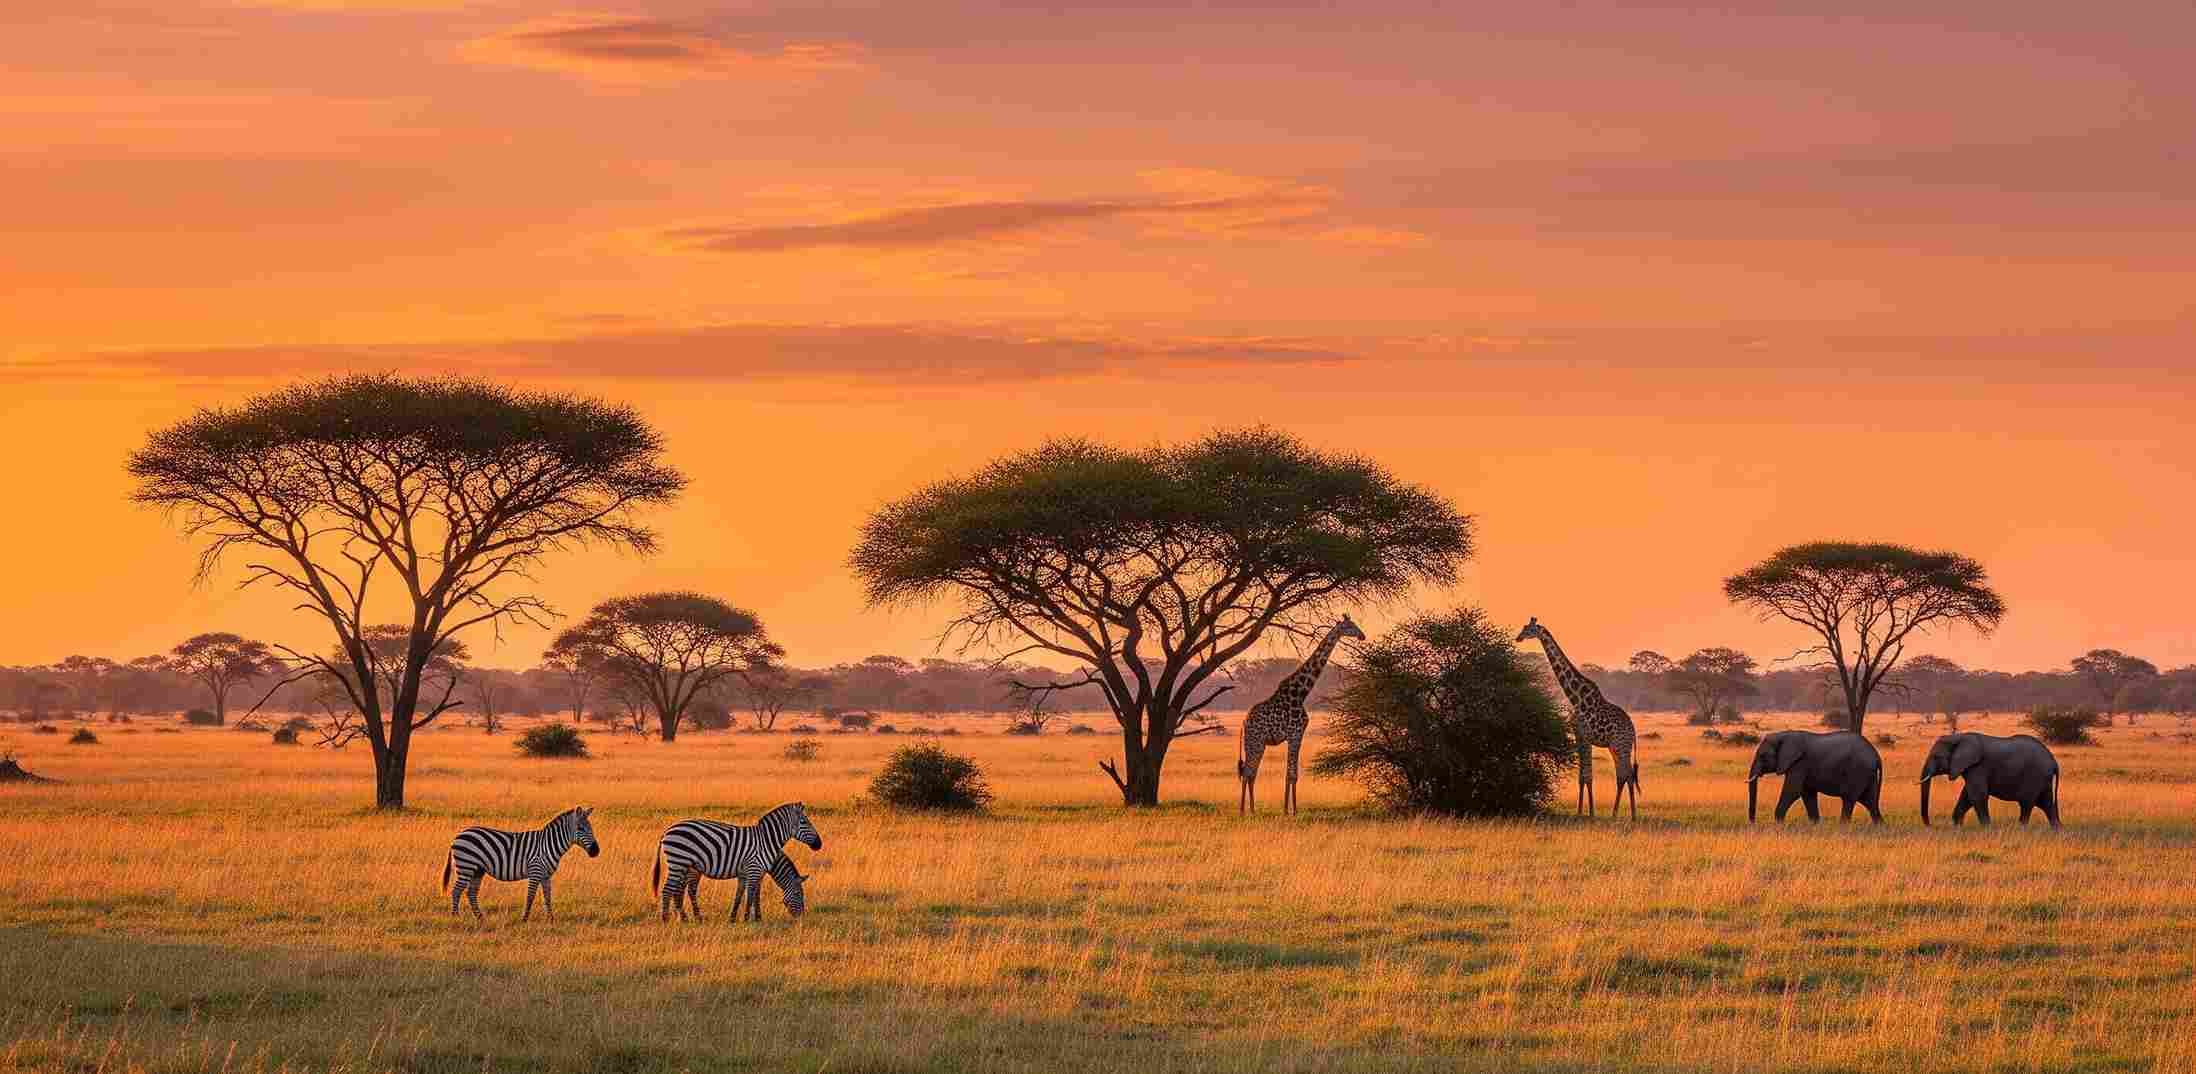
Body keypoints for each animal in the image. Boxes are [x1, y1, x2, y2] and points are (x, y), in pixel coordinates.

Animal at [442, 805, 600, 922]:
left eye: (591, 828)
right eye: (580, 829)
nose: (596, 851)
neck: (548, 844)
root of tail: (458, 836)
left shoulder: (546, 875)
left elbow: (548, 897)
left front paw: (551, 919)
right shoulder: (535, 871)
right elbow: (530, 896)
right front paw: (524, 918)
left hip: (477, 870)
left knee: (471, 893)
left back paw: (480, 917)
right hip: (466, 866)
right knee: (456, 891)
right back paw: (456, 917)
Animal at [652, 802, 822, 923]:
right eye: (804, 822)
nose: (819, 844)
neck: (767, 841)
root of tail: (667, 831)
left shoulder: (748, 873)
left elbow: (743, 895)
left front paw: (738, 918)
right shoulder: (754, 869)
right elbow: (750, 895)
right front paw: (747, 919)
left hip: (684, 865)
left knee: (678, 890)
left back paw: (685, 918)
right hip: (678, 862)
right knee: (667, 890)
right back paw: (666, 919)